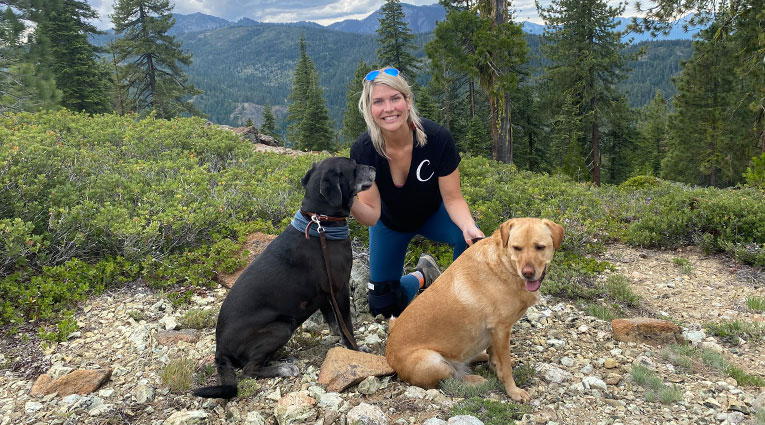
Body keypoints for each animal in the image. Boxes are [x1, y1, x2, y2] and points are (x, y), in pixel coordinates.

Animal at [194, 156, 376, 398]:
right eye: (353, 166)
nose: (374, 167)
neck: (321, 225)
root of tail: (219, 349)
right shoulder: (339, 288)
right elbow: (346, 325)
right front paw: (355, 350)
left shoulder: (325, 292)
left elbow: (333, 320)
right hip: (282, 326)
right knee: (249, 369)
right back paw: (283, 368)